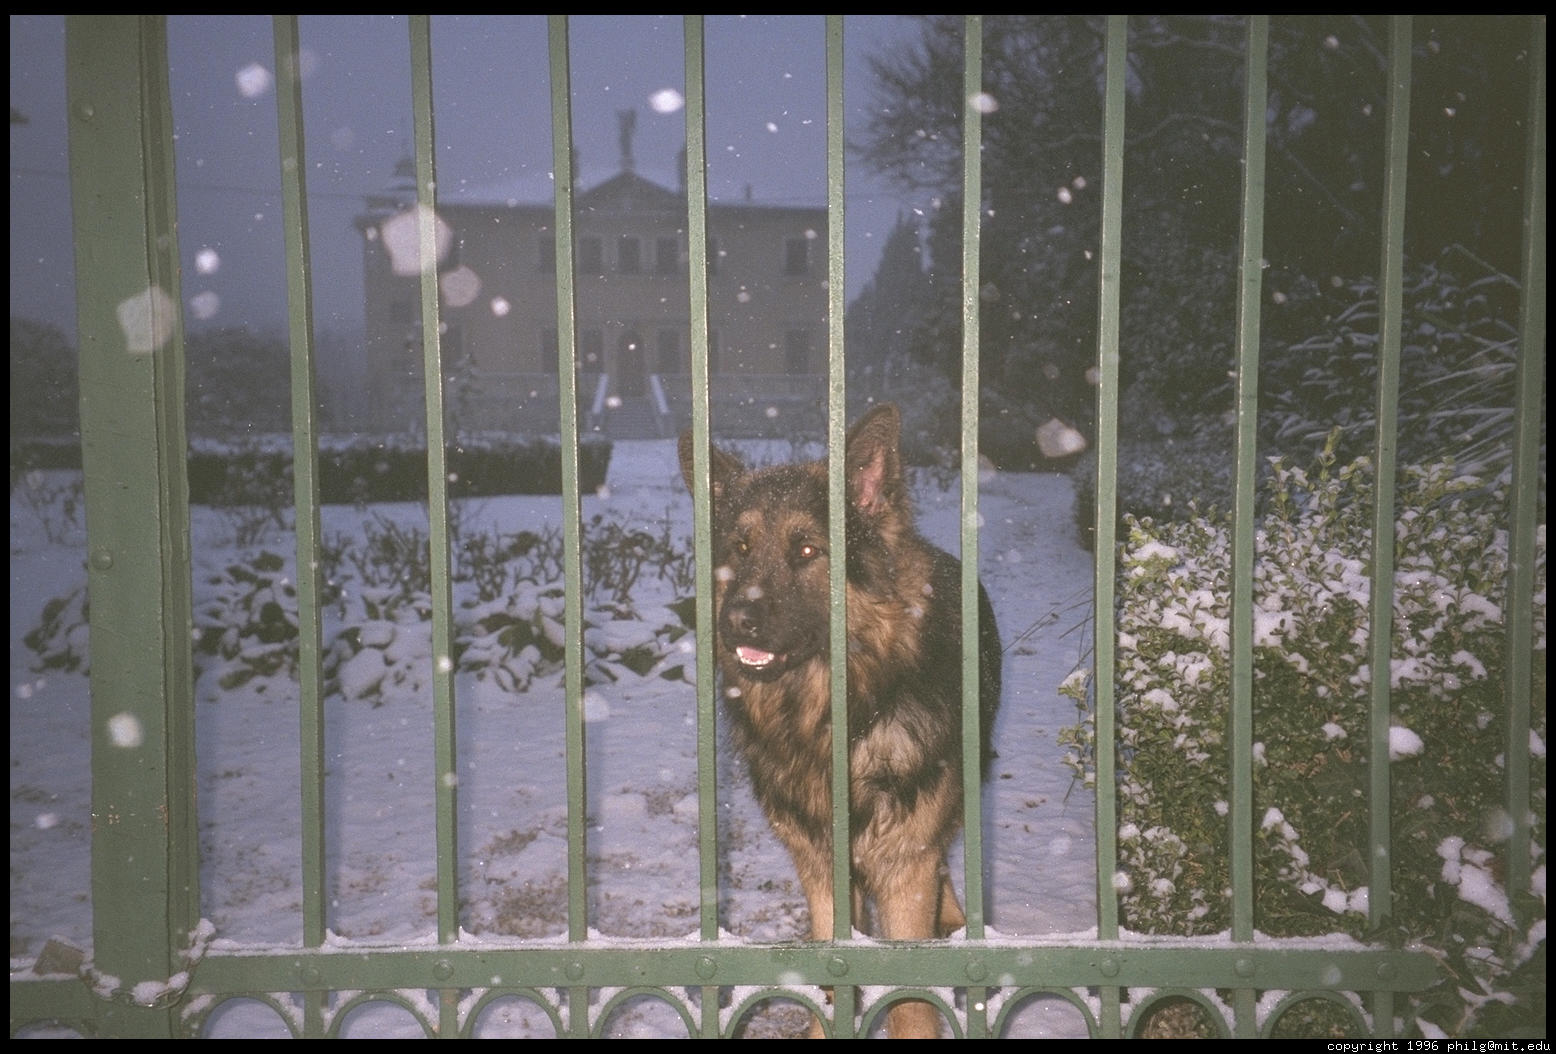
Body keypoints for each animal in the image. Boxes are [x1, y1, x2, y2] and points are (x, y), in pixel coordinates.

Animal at [679, 403, 1001, 1038]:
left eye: (807, 551)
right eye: (740, 548)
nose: (737, 619)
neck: (828, 720)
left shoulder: (904, 865)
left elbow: (909, 1004)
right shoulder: (822, 869)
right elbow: (832, 975)